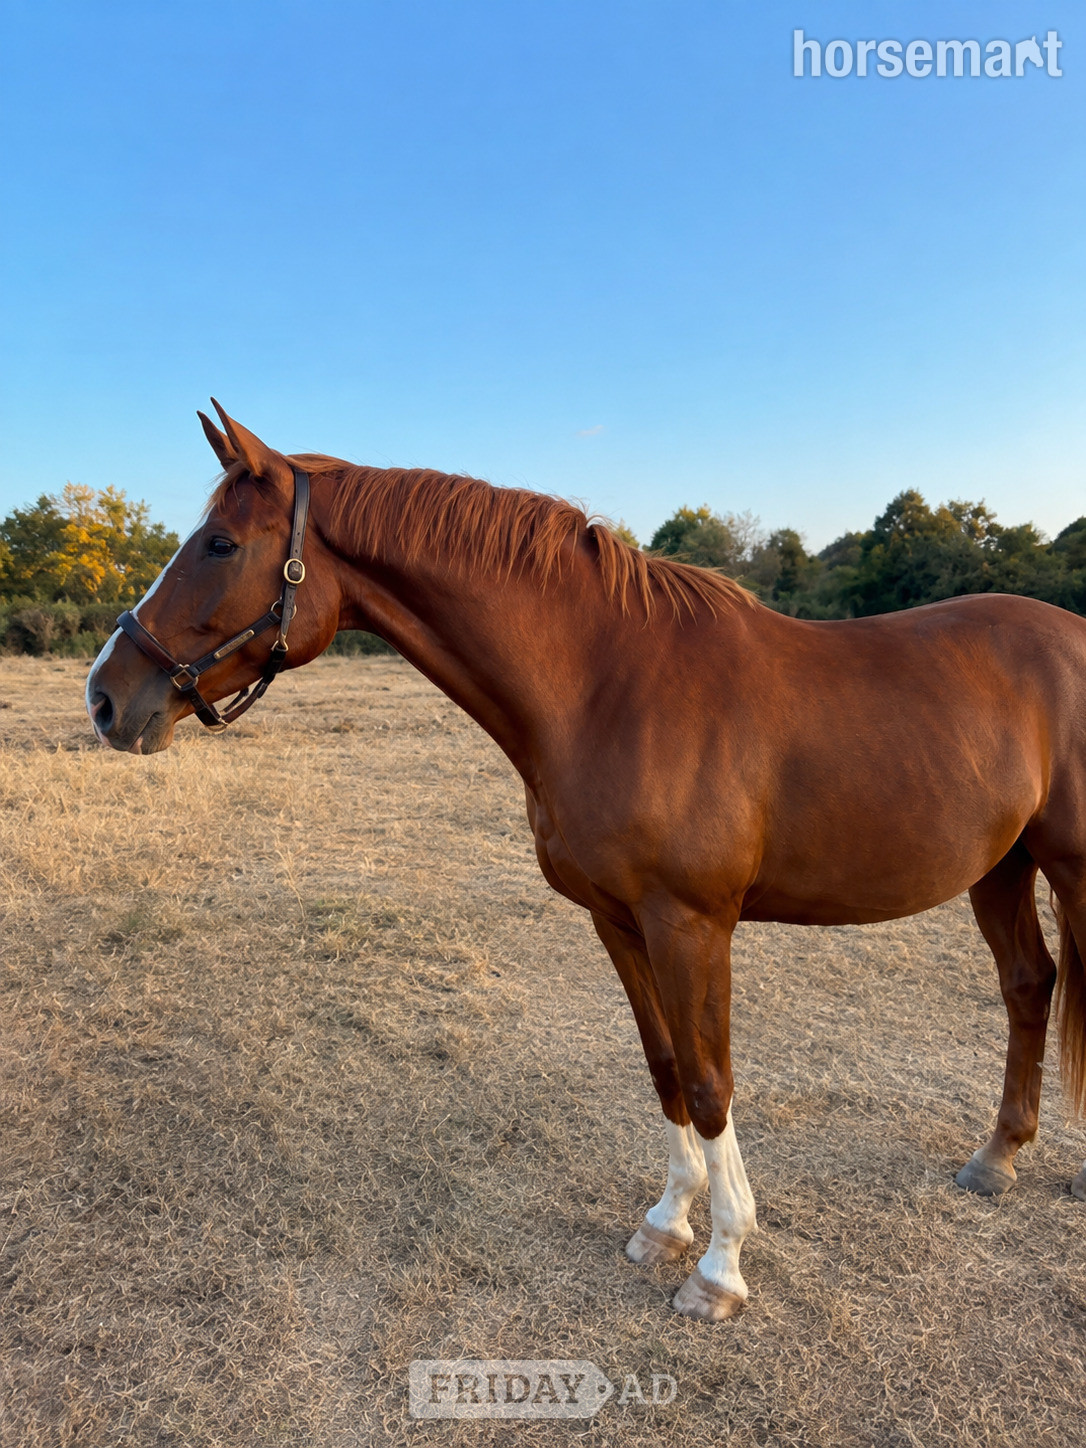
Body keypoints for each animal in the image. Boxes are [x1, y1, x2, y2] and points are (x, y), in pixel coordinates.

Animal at [85, 403, 1086, 1321]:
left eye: (220, 543)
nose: (105, 698)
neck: (609, 686)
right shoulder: (618, 919)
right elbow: (664, 1065)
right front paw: (666, 1224)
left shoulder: (693, 925)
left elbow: (711, 1081)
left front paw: (721, 1269)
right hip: (999, 866)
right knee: (1029, 983)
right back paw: (996, 1158)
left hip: (1067, 867)